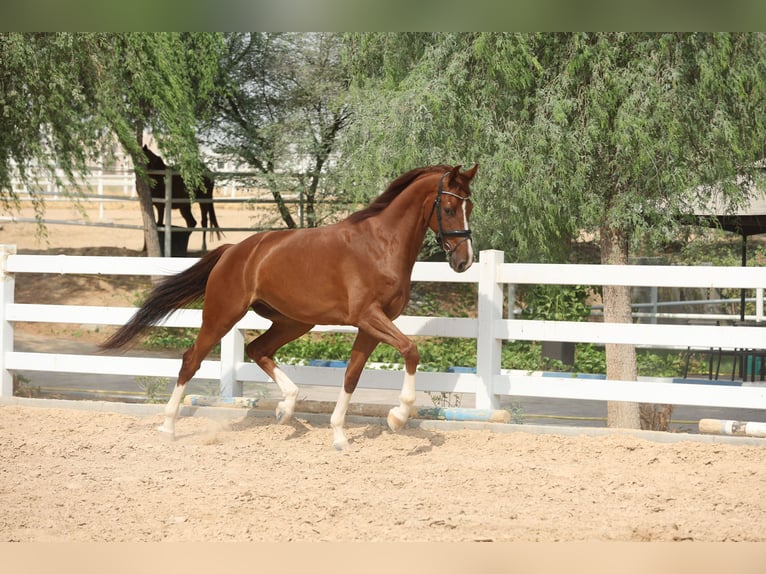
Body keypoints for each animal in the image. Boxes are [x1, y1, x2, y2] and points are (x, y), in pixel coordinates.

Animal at [102, 163, 478, 450]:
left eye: (469, 207)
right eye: (448, 208)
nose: (464, 262)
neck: (380, 245)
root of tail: (233, 251)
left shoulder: (372, 325)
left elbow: (352, 375)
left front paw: (340, 435)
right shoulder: (369, 317)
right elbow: (411, 350)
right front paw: (397, 417)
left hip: (293, 322)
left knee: (257, 350)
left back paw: (286, 408)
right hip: (223, 315)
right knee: (192, 359)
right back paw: (168, 426)